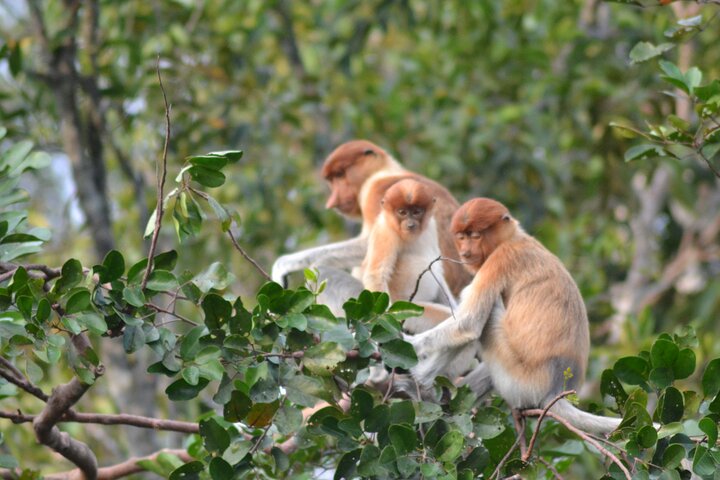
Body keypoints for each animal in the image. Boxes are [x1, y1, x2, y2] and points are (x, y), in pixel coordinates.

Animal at [404, 198, 623, 434]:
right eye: (461, 236)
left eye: (475, 235)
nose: (465, 252)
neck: (513, 237)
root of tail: (556, 390)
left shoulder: (499, 259)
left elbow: (468, 324)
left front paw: (407, 341)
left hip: (521, 381)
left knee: (485, 315)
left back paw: (418, 383)